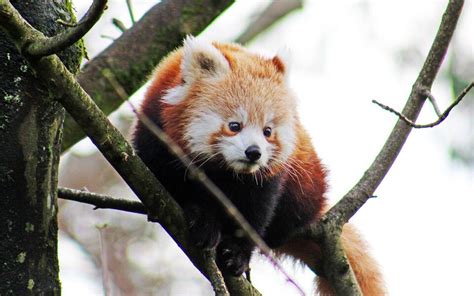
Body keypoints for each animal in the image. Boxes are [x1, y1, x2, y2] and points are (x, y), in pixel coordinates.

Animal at [133, 37, 386, 296]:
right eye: (234, 125)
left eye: (268, 131)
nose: (254, 153)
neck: (223, 171)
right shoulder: (155, 134)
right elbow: (164, 184)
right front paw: (201, 217)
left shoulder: (267, 179)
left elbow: (255, 212)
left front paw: (237, 253)